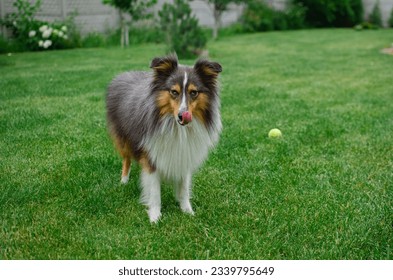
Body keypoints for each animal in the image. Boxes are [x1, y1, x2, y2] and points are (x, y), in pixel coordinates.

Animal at [105, 53, 222, 222]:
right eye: (174, 92)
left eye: (194, 92)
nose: (182, 116)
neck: (175, 127)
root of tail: (122, 75)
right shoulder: (151, 155)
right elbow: (154, 191)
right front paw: (155, 217)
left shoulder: (184, 155)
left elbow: (184, 188)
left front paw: (187, 211)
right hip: (123, 138)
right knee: (126, 159)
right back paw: (124, 181)